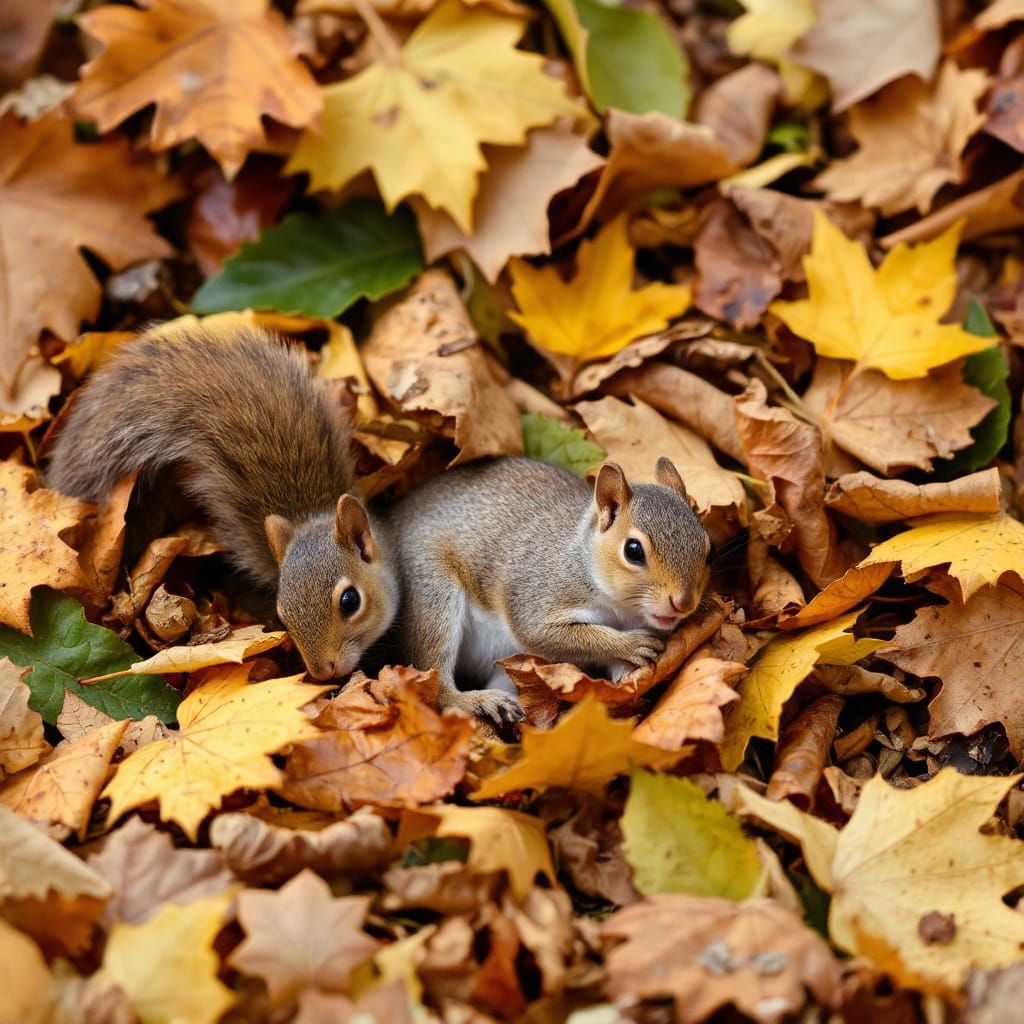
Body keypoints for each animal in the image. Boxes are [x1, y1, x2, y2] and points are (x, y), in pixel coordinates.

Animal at [378, 456, 712, 722]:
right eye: (633, 551)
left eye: (708, 548)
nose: (683, 603)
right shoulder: (538, 592)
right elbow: (549, 633)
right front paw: (629, 645)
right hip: (434, 593)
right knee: (436, 685)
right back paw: (476, 701)